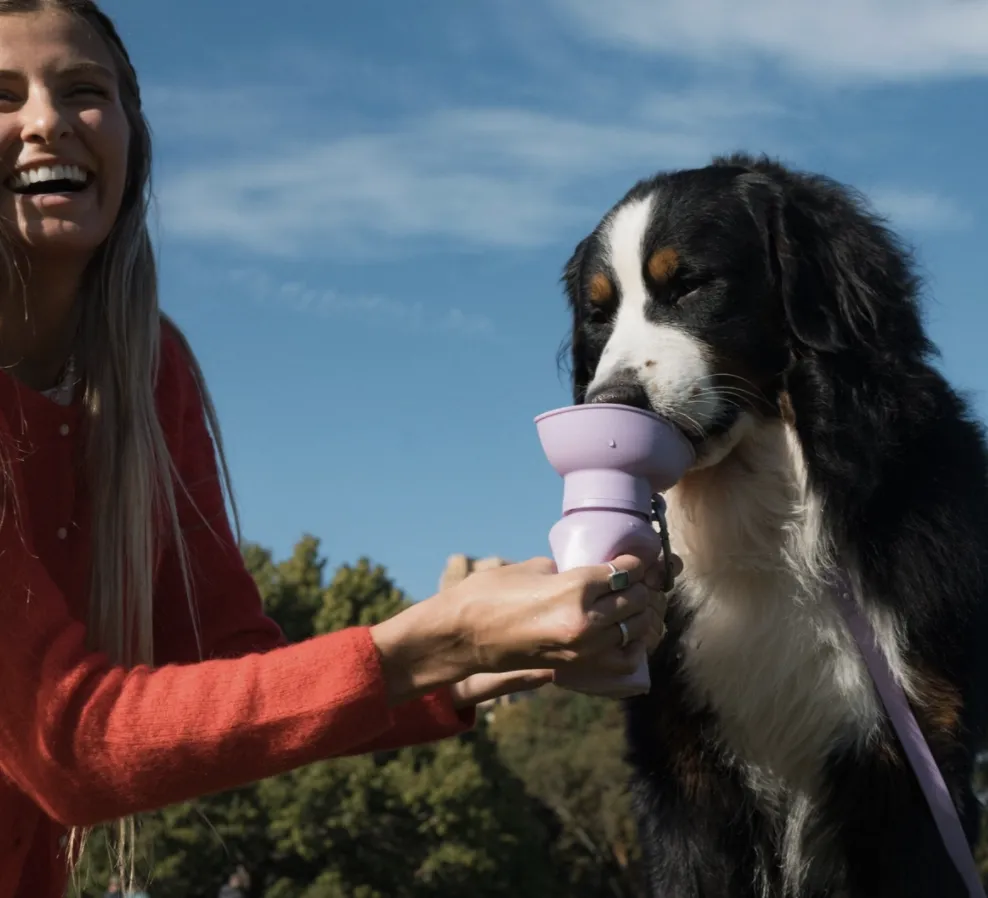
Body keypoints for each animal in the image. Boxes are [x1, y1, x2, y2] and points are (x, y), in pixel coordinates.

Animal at [560, 150, 988, 892]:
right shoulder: (684, 769)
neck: (761, 516)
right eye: (597, 313)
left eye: (689, 285)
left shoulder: (918, 761)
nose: (610, 400)